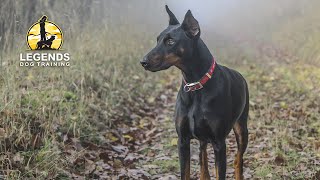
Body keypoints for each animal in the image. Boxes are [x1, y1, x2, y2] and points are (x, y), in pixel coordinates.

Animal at [141, 4, 250, 179]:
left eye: (170, 41)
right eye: (157, 39)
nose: (143, 62)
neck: (196, 85)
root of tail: (240, 75)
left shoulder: (219, 143)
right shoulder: (183, 140)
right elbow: (185, 171)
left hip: (241, 128)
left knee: (238, 159)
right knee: (202, 155)